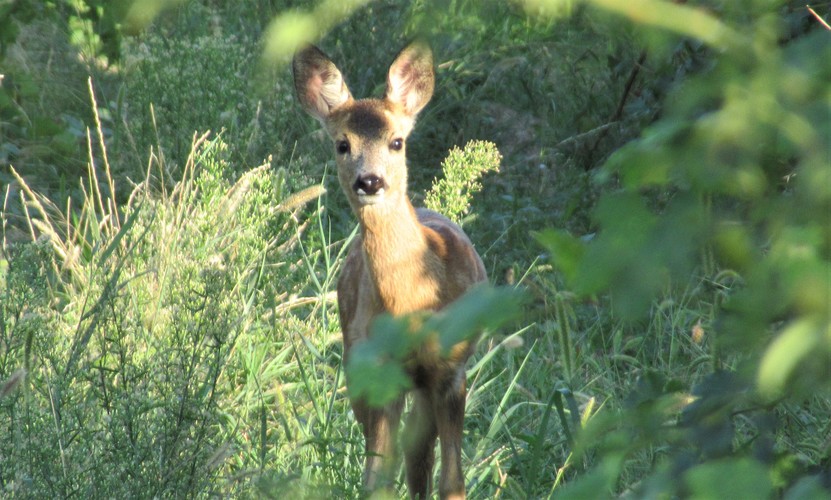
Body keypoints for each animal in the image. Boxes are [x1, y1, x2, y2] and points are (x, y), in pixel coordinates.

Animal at [294, 41, 484, 498]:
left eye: (397, 141)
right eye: (342, 144)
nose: (370, 181)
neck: (416, 301)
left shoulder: (451, 370)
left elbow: (452, 481)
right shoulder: (377, 370)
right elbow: (377, 479)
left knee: (420, 456)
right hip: (358, 362)